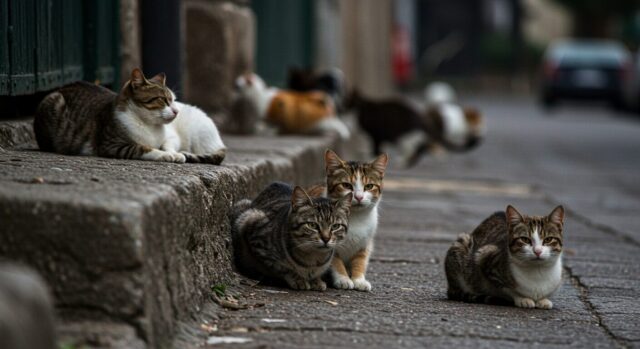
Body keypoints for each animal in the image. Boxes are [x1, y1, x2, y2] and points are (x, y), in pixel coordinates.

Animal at [34, 70, 228, 165]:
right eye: (163, 100)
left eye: (173, 100)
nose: (176, 111)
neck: (150, 127)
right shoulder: (113, 145)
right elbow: (145, 148)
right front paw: (165, 155)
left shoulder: (172, 136)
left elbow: (168, 144)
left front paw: (174, 153)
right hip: (52, 102)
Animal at [308, 148, 388, 290]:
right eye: (346, 185)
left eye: (369, 186)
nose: (359, 197)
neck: (355, 218)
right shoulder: (328, 243)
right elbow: (335, 262)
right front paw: (343, 279)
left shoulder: (364, 244)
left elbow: (360, 260)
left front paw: (359, 279)